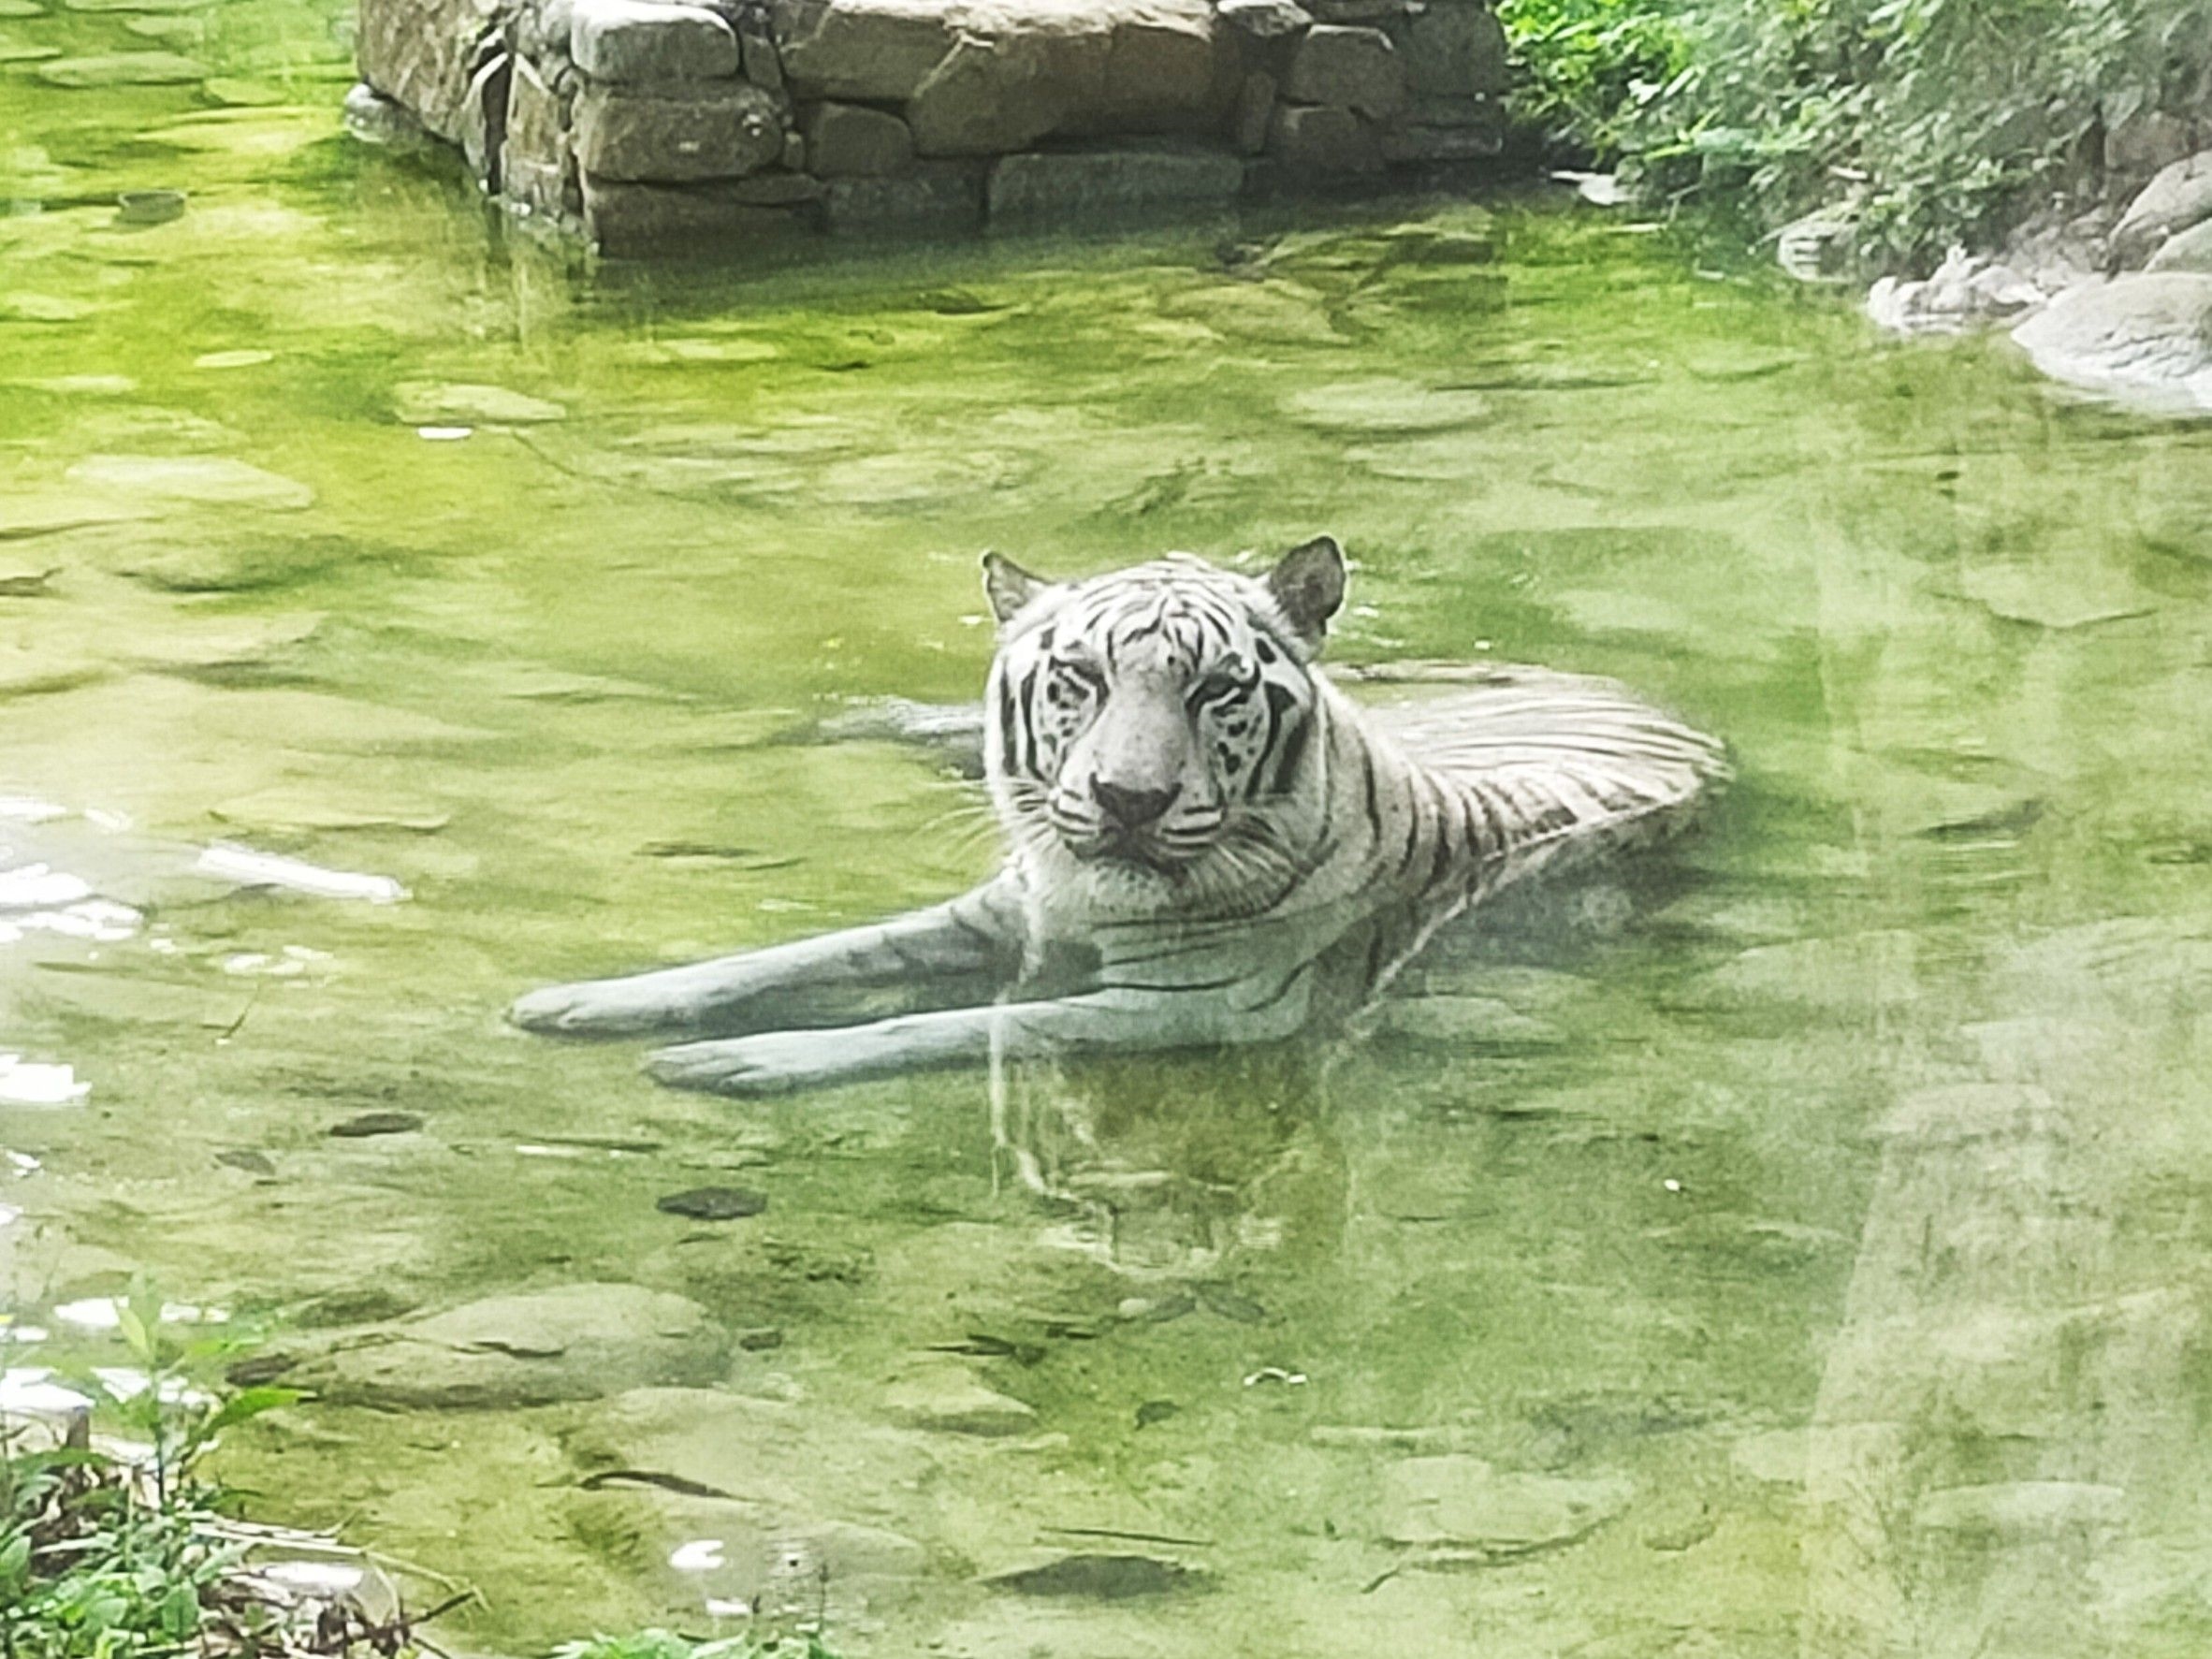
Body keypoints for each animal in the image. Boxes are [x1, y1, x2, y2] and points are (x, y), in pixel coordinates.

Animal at [509, 538, 1727, 1096]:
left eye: (1217, 689)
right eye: (1078, 679)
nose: (1127, 801)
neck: (1086, 896)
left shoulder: (1192, 1005)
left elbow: (950, 1025)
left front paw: (736, 1063)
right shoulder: (994, 908)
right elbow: (790, 954)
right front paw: (585, 1001)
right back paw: (836, 722)